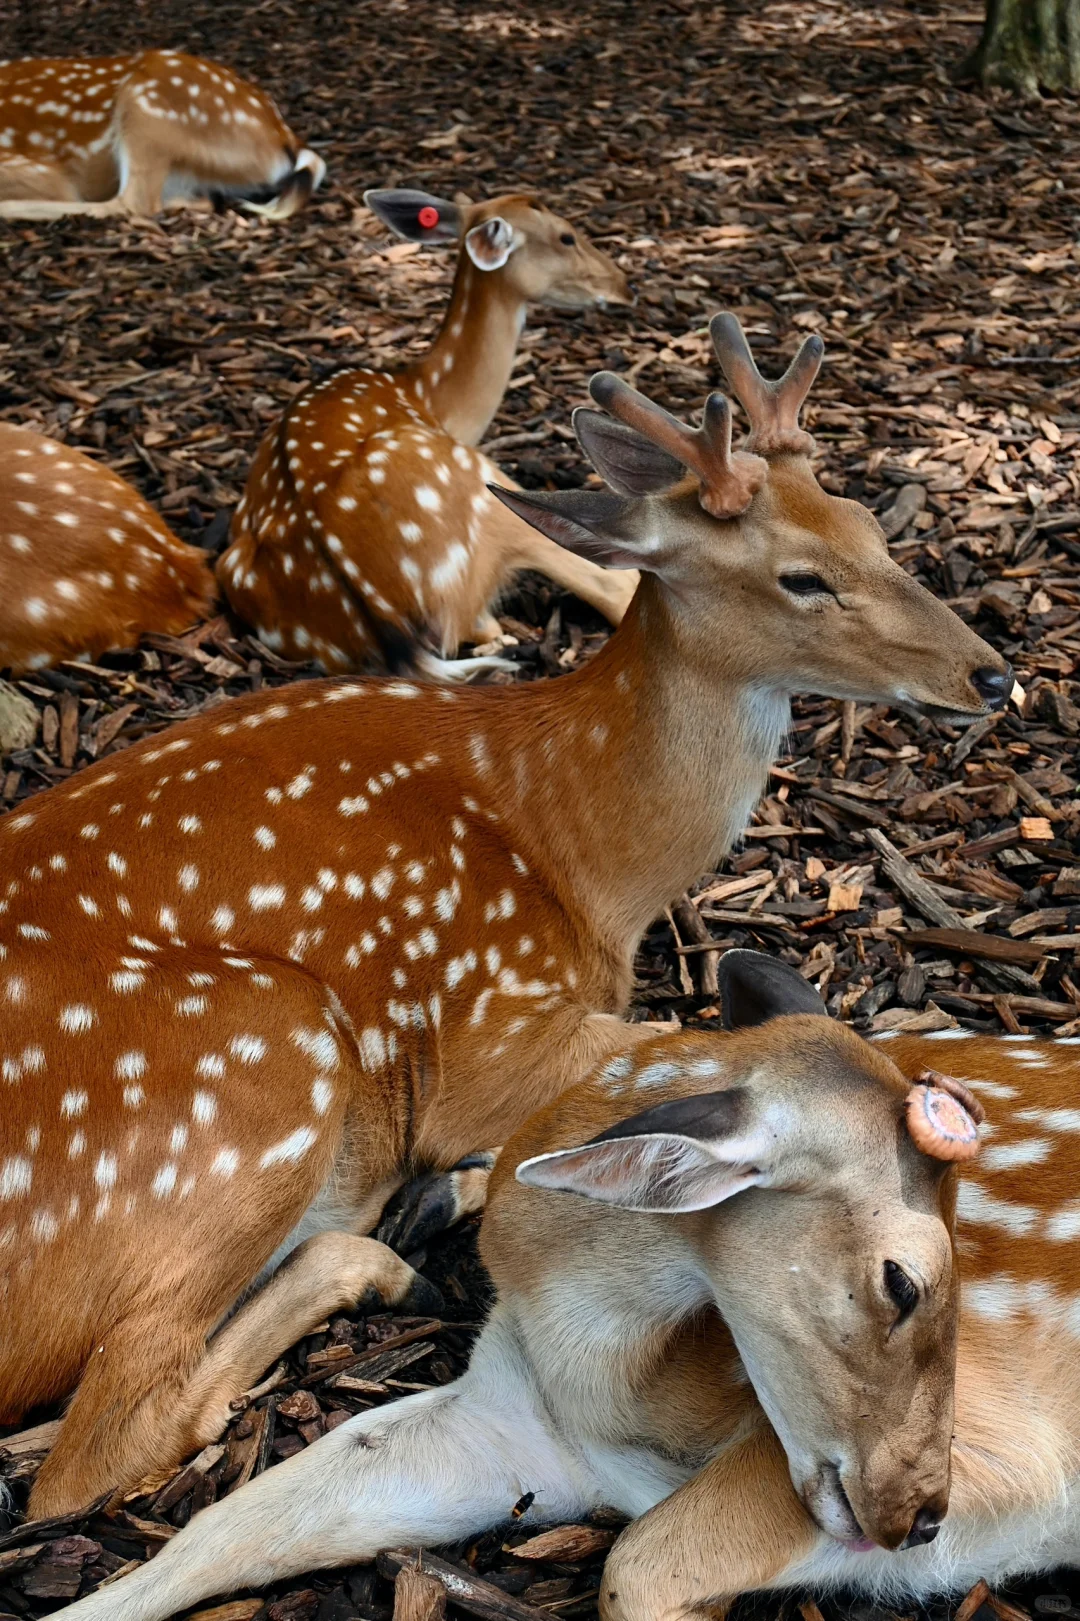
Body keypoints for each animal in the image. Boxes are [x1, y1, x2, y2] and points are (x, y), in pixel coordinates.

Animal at [56, 949, 1080, 1621]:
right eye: (901, 1279)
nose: (924, 1517)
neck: (609, 1389)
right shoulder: (518, 1417)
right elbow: (234, 1521)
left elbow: (636, 1561)